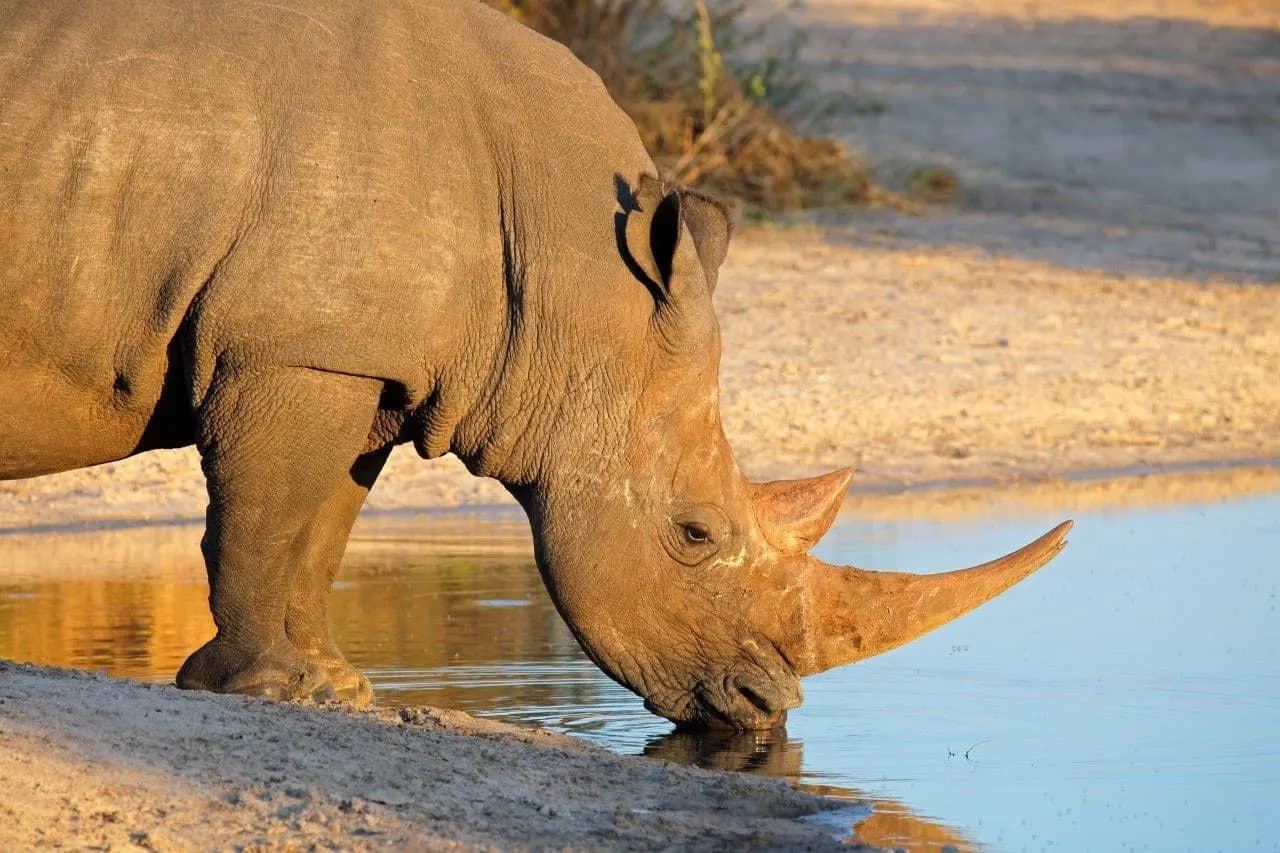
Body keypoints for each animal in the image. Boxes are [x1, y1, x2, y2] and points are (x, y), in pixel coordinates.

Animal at [0, 0, 1070, 730]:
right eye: (693, 533)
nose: (769, 706)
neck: (570, 276)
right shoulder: (297, 348)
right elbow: (263, 517)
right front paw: (275, 690)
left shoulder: (366, 366)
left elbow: (316, 527)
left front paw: (337, 687)